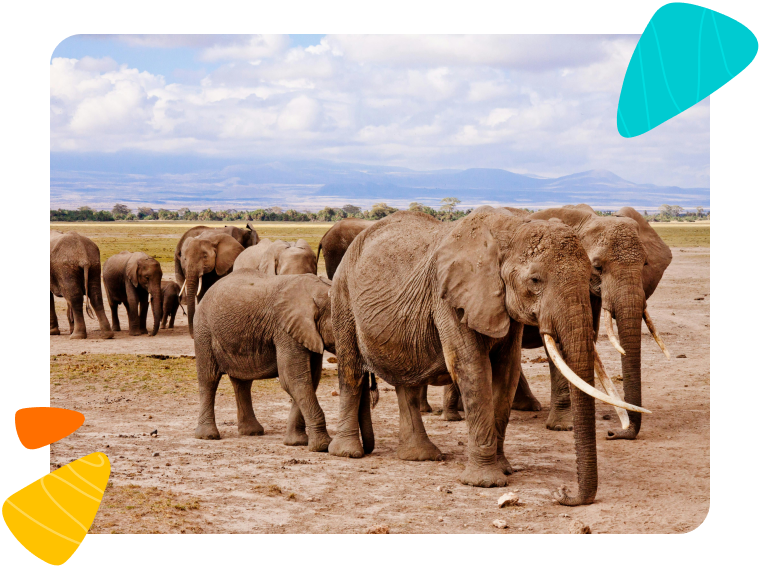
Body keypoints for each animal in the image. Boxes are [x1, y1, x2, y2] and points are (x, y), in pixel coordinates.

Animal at [193, 270, 334, 453]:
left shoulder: (307, 333)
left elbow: (309, 380)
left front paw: (296, 443)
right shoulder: (285, 330)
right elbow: (293, 379)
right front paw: (323, 446)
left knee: (242, 383)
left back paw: (252, 432)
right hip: (203, 330)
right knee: (208, 379)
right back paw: (208, 436)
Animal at [328, 207, 648, 502]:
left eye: (590, 273)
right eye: (535, 281)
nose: (563, 493)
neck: (510, 231)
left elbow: (506, 372)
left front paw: (504, 468)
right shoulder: (449, 298)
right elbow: (473, 369)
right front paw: (486, 482)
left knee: (407, 381)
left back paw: (419, 456)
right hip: (342, 296)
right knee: (351, 370)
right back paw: (348, 452)